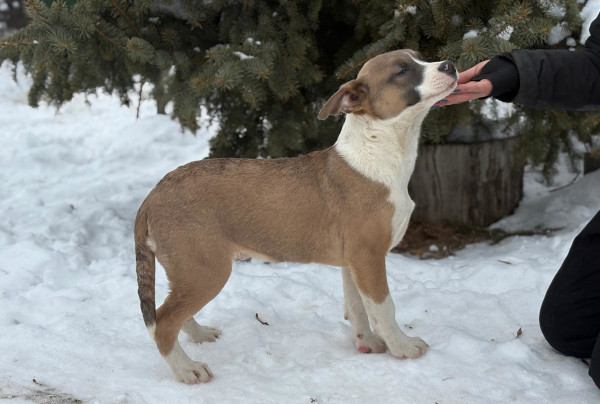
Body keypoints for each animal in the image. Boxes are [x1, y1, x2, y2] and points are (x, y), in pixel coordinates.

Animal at [134, 49, 458, 383]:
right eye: (402, 71)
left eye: (419, 58)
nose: (450, 65)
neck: (378, 148)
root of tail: (152, 197)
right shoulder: (368, 255)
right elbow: (383, 307)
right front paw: (402, 347)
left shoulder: (353, 261)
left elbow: (357, 306)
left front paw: (367, 343)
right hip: (205, 269)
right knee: (163, 321)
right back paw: (187, 369)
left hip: (187, 271)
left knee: (173, 313)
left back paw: (199, 336)